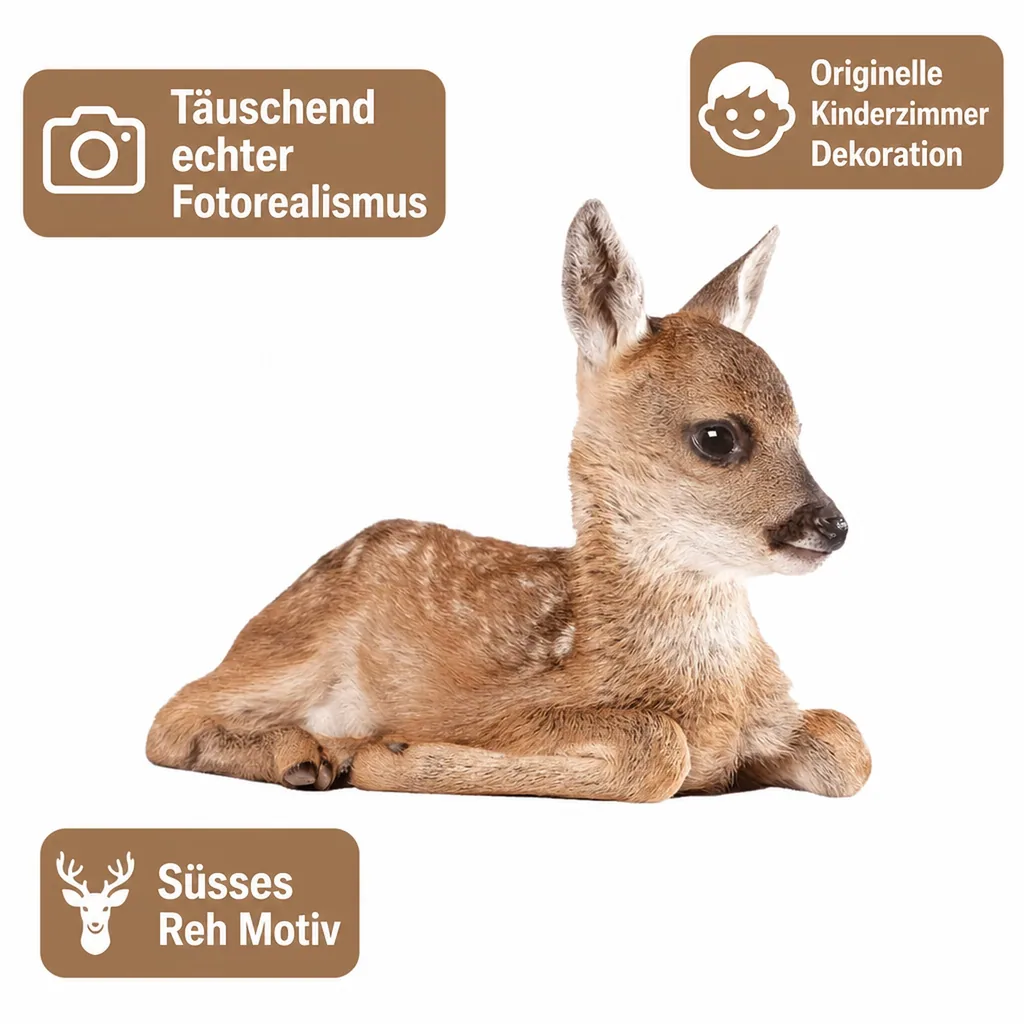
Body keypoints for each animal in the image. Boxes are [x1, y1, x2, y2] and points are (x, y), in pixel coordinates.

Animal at [146, 200, 871, 802]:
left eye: (799, 428)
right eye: (717, 437)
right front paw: (388, 753)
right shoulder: (501, 708)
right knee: (169, 717)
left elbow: (849, 744)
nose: (832, 525)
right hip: (295, 646)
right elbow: (659, 749)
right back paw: (309, 754)